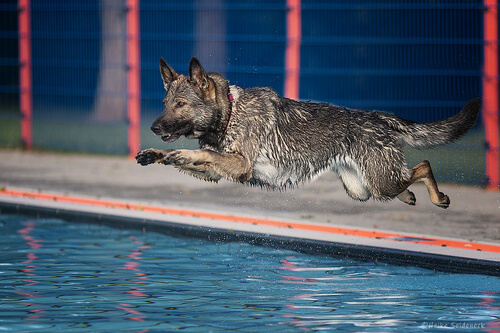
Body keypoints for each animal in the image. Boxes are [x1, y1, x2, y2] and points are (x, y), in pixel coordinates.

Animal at [136, 57, 480, 208]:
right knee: (408, 177)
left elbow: (200, 151)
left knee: (424, 166)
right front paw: (157, 153)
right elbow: (194, 156)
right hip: (364, 189)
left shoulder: (239, 165)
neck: (231, 112)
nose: (154, 127)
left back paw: (438, 197)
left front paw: (180, 152)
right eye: (165, 104)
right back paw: (410, 196)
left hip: (378, 183)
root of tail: (378, 117)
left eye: (180, 105)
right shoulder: (215, 172)